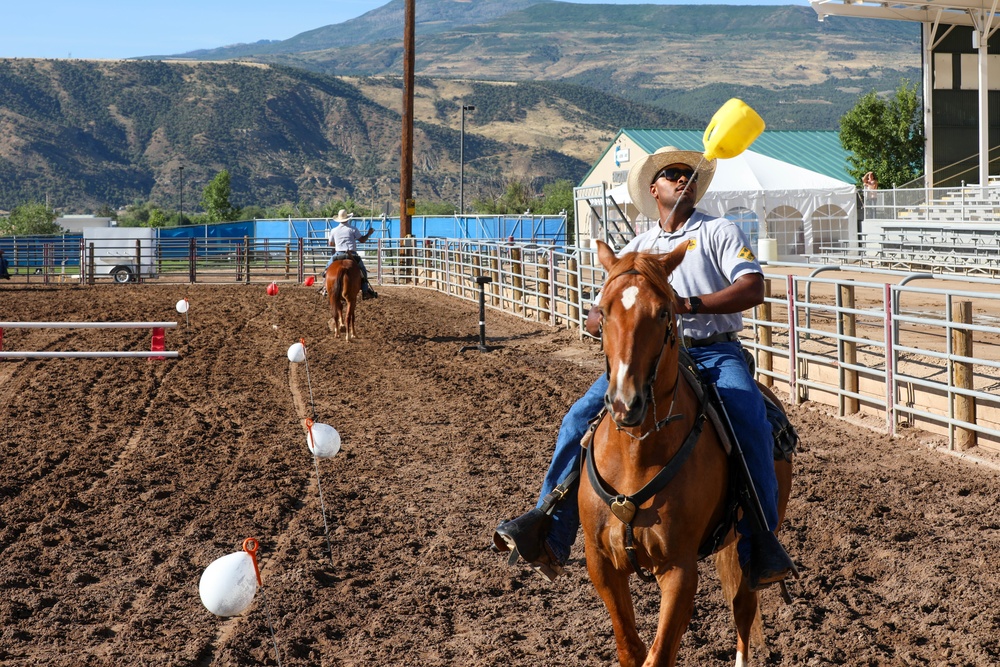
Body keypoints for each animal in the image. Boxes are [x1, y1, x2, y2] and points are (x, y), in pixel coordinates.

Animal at [584, 240, 792, 667]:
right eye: (604, 310)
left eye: (663, 311)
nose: (625, 403)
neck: (637, 452)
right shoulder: (601, 564)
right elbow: (631, 649)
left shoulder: (679, 568)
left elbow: (659, 654)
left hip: (750, 543)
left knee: (743, 610)